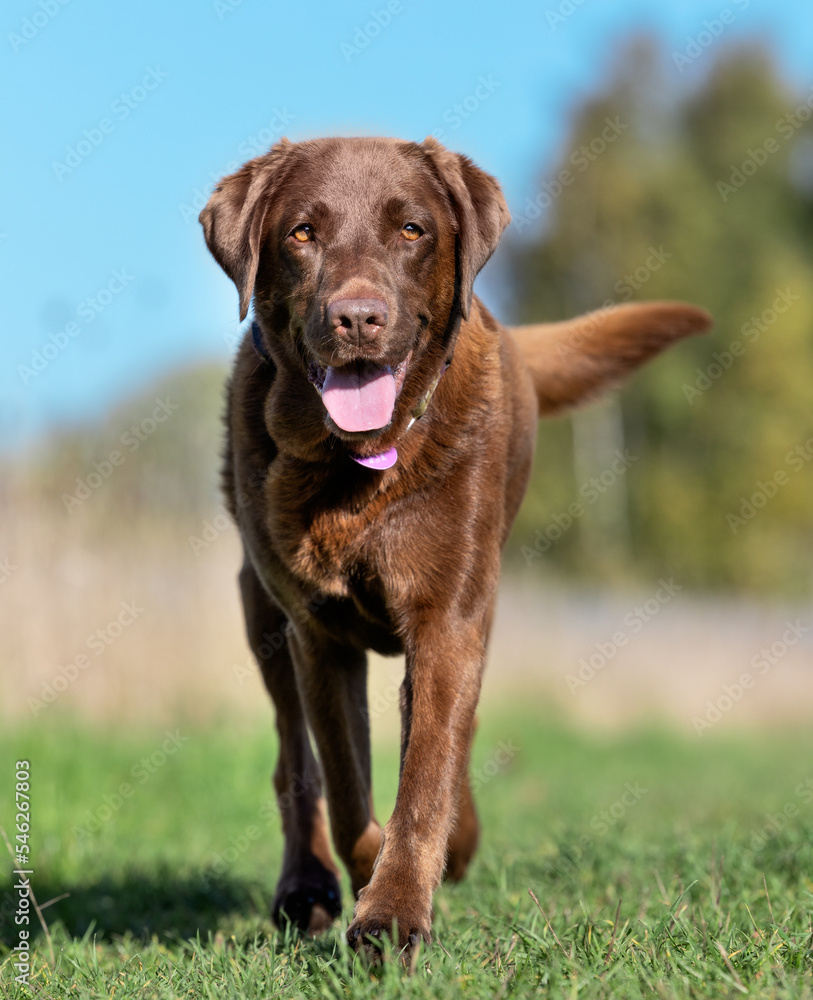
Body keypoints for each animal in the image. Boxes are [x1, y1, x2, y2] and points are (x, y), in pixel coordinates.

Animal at [198, 135, 712, 952]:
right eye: (301, 234)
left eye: (411, 230)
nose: (357, 317)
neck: (360, 466)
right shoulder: (317, 633)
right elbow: (349, 788)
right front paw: (375, 883)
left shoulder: (449, 616)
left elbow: (429, 770)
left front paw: (395, 910)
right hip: (260, 607)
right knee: (294, 761)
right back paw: (306, 885)